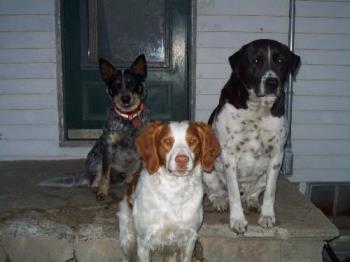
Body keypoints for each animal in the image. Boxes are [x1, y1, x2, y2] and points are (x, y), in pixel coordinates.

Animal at [119, 121, 220, 262]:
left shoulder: (189, 239)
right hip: (127, 237)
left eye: (193, 141)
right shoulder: (144, 242)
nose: (182, 160)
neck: (174, 191)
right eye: (166, 141)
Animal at [205, 39, 300, 233]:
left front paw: (267, 215)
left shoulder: (276, 156)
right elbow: (233, 193)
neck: (258, 109)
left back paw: (253, 202)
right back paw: (219, 201)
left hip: (262, 177)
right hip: (206, 172)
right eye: (256, 61)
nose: (272, 82)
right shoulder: (229, 156)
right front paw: (237, 220)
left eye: (280, 61)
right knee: (216, 192)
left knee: (254, 193)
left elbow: (270, 192)